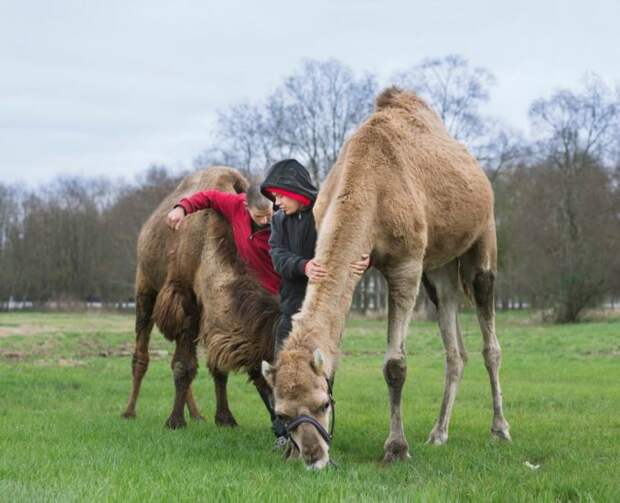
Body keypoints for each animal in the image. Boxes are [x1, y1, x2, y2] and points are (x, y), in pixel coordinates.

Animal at [121, 168, 278, 430]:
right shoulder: (183, 297)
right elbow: (184, 366)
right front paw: (175, 421)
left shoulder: (209, 311)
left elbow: (215, 367)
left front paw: (224, 418)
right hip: (145, 285)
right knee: (142, 353)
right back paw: (129, 411)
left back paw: (196, 414)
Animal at [264, 86, 512, 468]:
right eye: (282, 413)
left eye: (323, 404)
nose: (314, 457)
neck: (370, 188)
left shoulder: (406, 264)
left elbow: (395, 365)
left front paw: (396, 448)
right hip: (438, 269)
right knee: (454, 344)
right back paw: (438, 433)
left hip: (483, 236)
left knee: (490, 340)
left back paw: (499, 429)